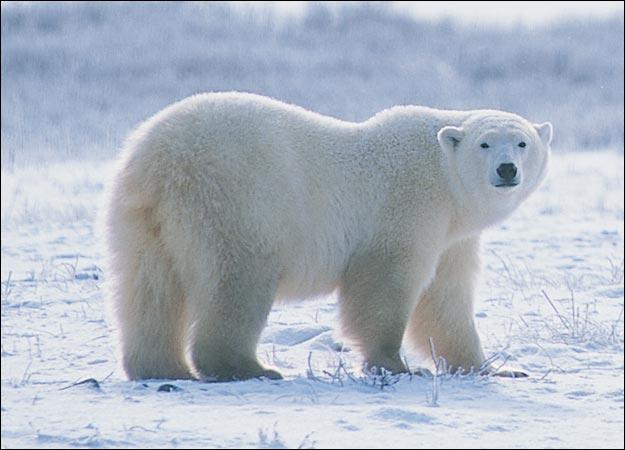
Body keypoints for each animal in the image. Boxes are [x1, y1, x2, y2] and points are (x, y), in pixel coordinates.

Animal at [103, 93, 552, 382]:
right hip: (235, 201)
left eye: (522, 142)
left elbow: (446, 299)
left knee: (149, 288)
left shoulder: (452, 237)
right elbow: (385, 285)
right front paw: (395, 364)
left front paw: (494, 367)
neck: (442, 175)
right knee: (237, 280)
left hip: (140, 217)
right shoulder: (407, 208)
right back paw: (248, 368)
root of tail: (160, 161)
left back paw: (161, 366)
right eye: (485, 143)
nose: (507, 169)